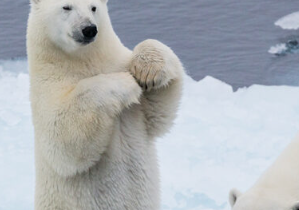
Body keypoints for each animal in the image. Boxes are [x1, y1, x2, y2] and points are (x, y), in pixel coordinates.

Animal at [26, 0, 185, 209]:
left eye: (93, 7)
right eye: (66, 7)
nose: (89, 29)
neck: (81, 60)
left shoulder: (119, 61)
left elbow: (158, 114)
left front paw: (147, 71)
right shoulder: (46, 88)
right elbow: (61, 138)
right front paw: (126, 83)